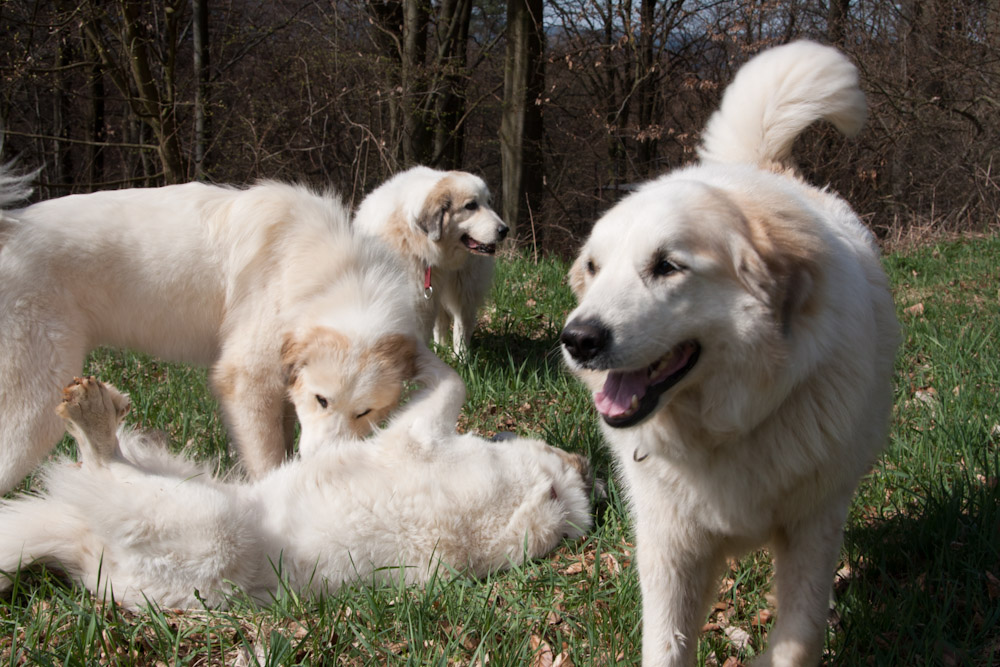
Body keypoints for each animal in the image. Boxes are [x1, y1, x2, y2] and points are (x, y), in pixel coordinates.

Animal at [0, 376, 592, 612]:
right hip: (188, 475)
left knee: (101, 465)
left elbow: (449, 387)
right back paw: (105, 407)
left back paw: (91, 414)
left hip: (207, 522)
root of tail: (85, 555)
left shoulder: (421, 437)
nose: (589, 465)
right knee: (112, 457)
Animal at [564, 40, 900, 664]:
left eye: (667, 266)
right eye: (594, 268)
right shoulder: (669, 546)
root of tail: (759, 168)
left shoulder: (813, 526)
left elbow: (799, 635)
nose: (578, 339)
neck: (726, 429)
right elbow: (666, 644)